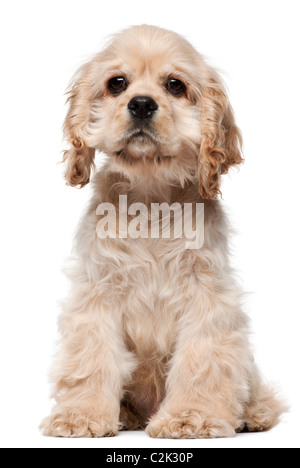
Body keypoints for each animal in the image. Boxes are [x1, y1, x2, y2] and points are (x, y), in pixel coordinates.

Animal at [41, 24, 284, 438]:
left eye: (175, 85)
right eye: (117, 83)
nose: (141, 104)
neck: (151, 200)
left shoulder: (207, 294)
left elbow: (202, 361)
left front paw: (191, 417)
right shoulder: (98, 291)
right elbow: (91, 357)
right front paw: (81, 416)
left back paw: (252, 414)